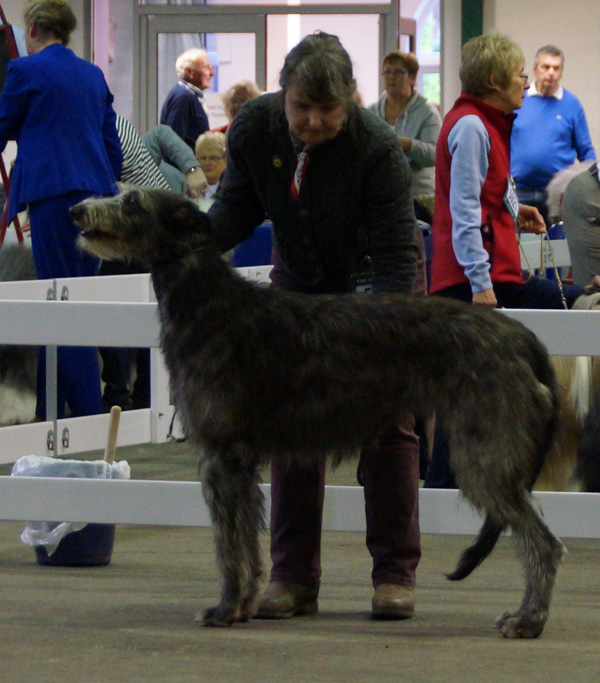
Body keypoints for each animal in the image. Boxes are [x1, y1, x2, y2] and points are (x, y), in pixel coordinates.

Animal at [72, 188, 564, 640]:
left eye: (132, 201)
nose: (76, 210)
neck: (206, 299)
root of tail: (522, 336)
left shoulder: (221, 455)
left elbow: (228, 543)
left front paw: (225, 608)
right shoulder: (241, 463)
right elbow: (247, 539)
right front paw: (244, 603)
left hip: (484, 452)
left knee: (546, 543)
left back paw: (529, 619)